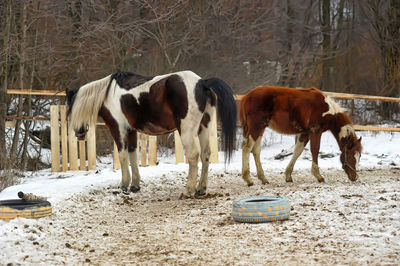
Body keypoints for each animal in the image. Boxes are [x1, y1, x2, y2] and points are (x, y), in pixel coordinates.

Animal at [67, 69, 238, 198]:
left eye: (70, 108)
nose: (79, 134)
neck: (107, 94)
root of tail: (202, 83)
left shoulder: (118, 129)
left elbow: (122, 156)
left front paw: (123, 185)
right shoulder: (131, 131)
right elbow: (132, 155)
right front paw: (135, 186)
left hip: (187, 131)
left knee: (193, 156)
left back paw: (188, 191)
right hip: (204, 127)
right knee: (205, 154)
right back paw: (201, 189)